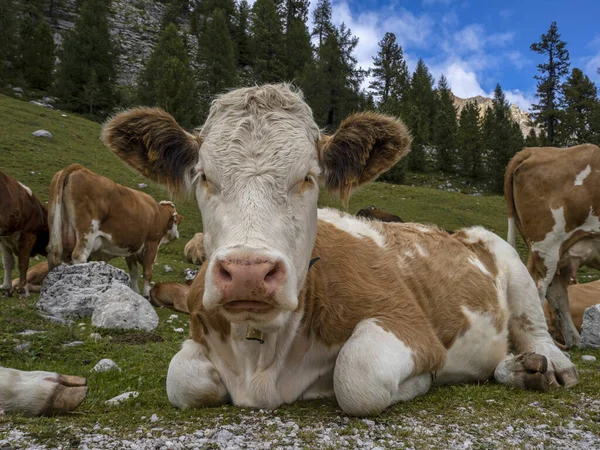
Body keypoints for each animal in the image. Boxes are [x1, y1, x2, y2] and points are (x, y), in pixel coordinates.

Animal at [47, 163, 183, 298]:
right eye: (176, 222)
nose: (177, 234)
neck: (158, 213)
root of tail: (78, 168)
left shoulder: (131, 249)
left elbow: (134, 273)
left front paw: (135, 292)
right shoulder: (152, 244)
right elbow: (147, 273)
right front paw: (146, 295)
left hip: (56, 229)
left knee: (54, 255)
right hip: (86, 233)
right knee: (79, 257)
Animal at [104, 82, 580, 416]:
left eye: (308, 177)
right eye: (204, 176)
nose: (247, 272)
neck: (261, 360)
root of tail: (454, 231)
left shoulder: (412, 328)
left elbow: (357, 376)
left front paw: (417, 383)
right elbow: (182, 379)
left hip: (514, 263)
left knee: (537, 329)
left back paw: (550, 364)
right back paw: (521, 369)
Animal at [506, 144, 600, 348]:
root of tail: (533, 150)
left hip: (561, 254)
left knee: (557, 294)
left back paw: (575, 341)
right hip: (547, 246)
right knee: (538, 287)